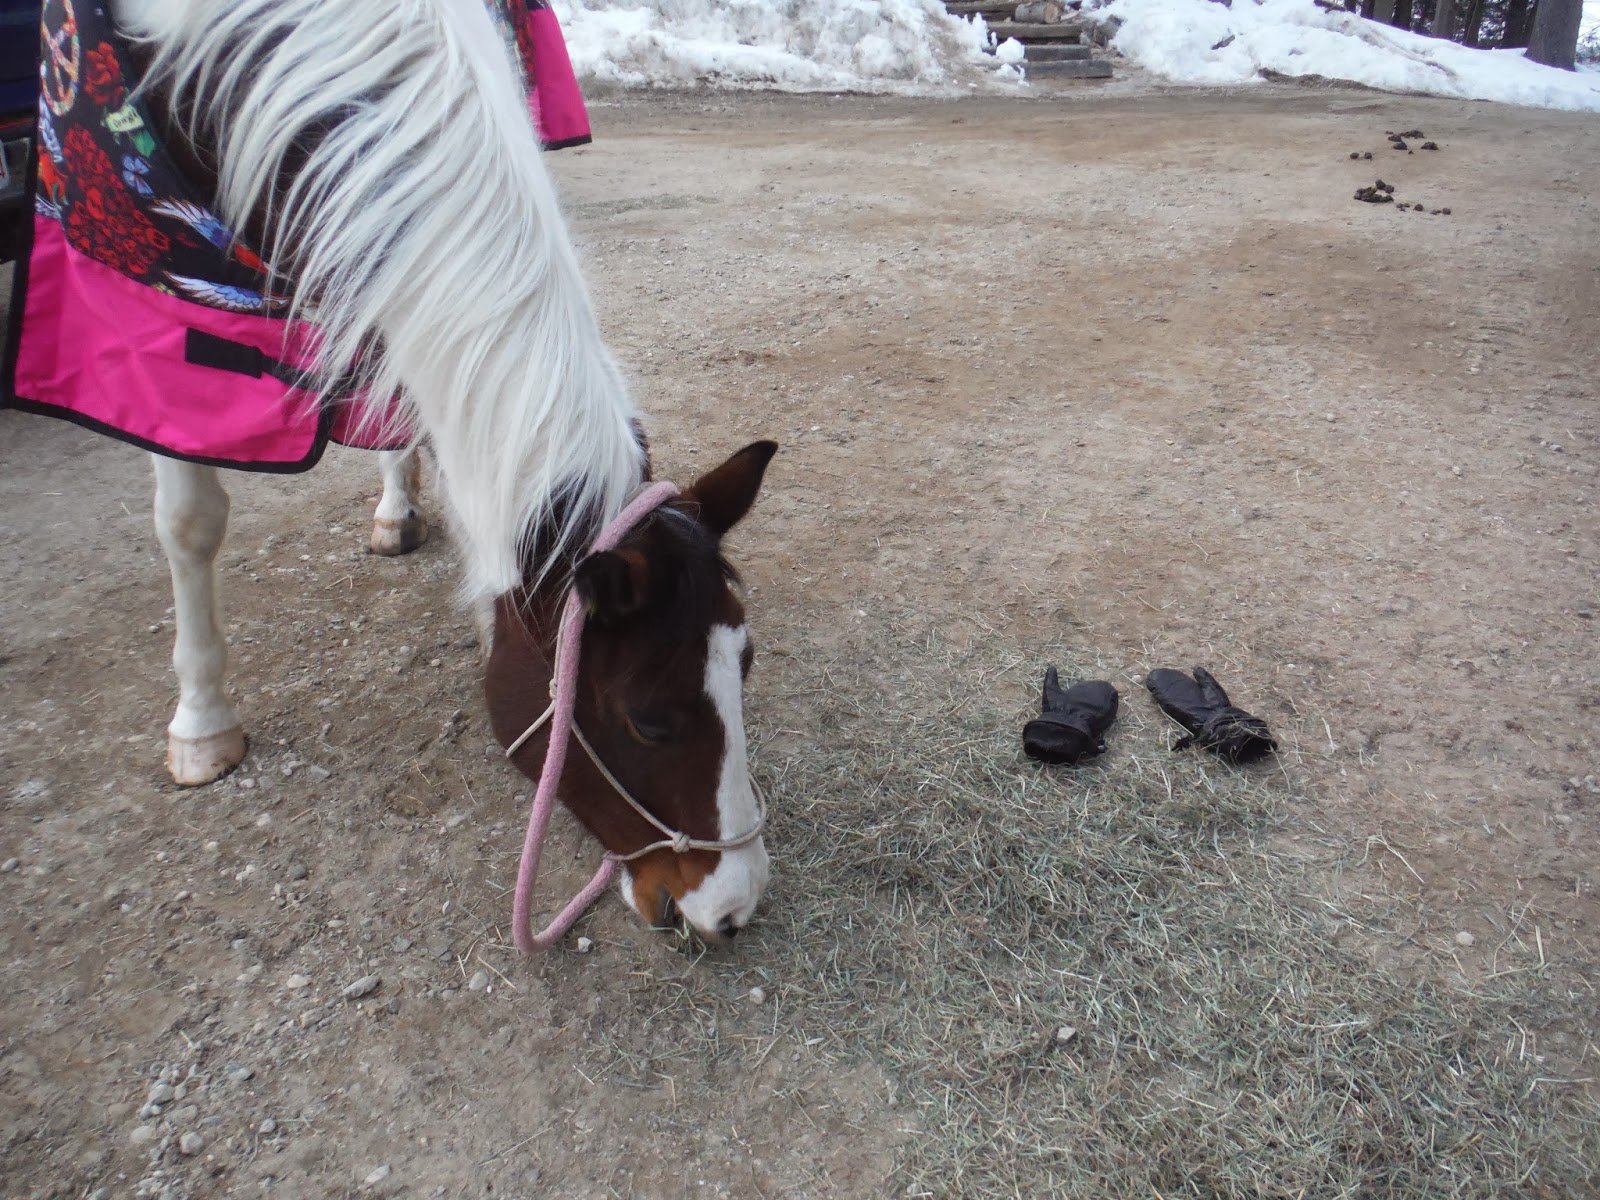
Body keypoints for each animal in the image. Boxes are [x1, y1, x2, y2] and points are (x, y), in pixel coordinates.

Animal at [83, 0, 777, 943]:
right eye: (649, 719)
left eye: (745, 666)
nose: (736, 906)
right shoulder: (164, 310)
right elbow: (190, 523)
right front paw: (200, 724)